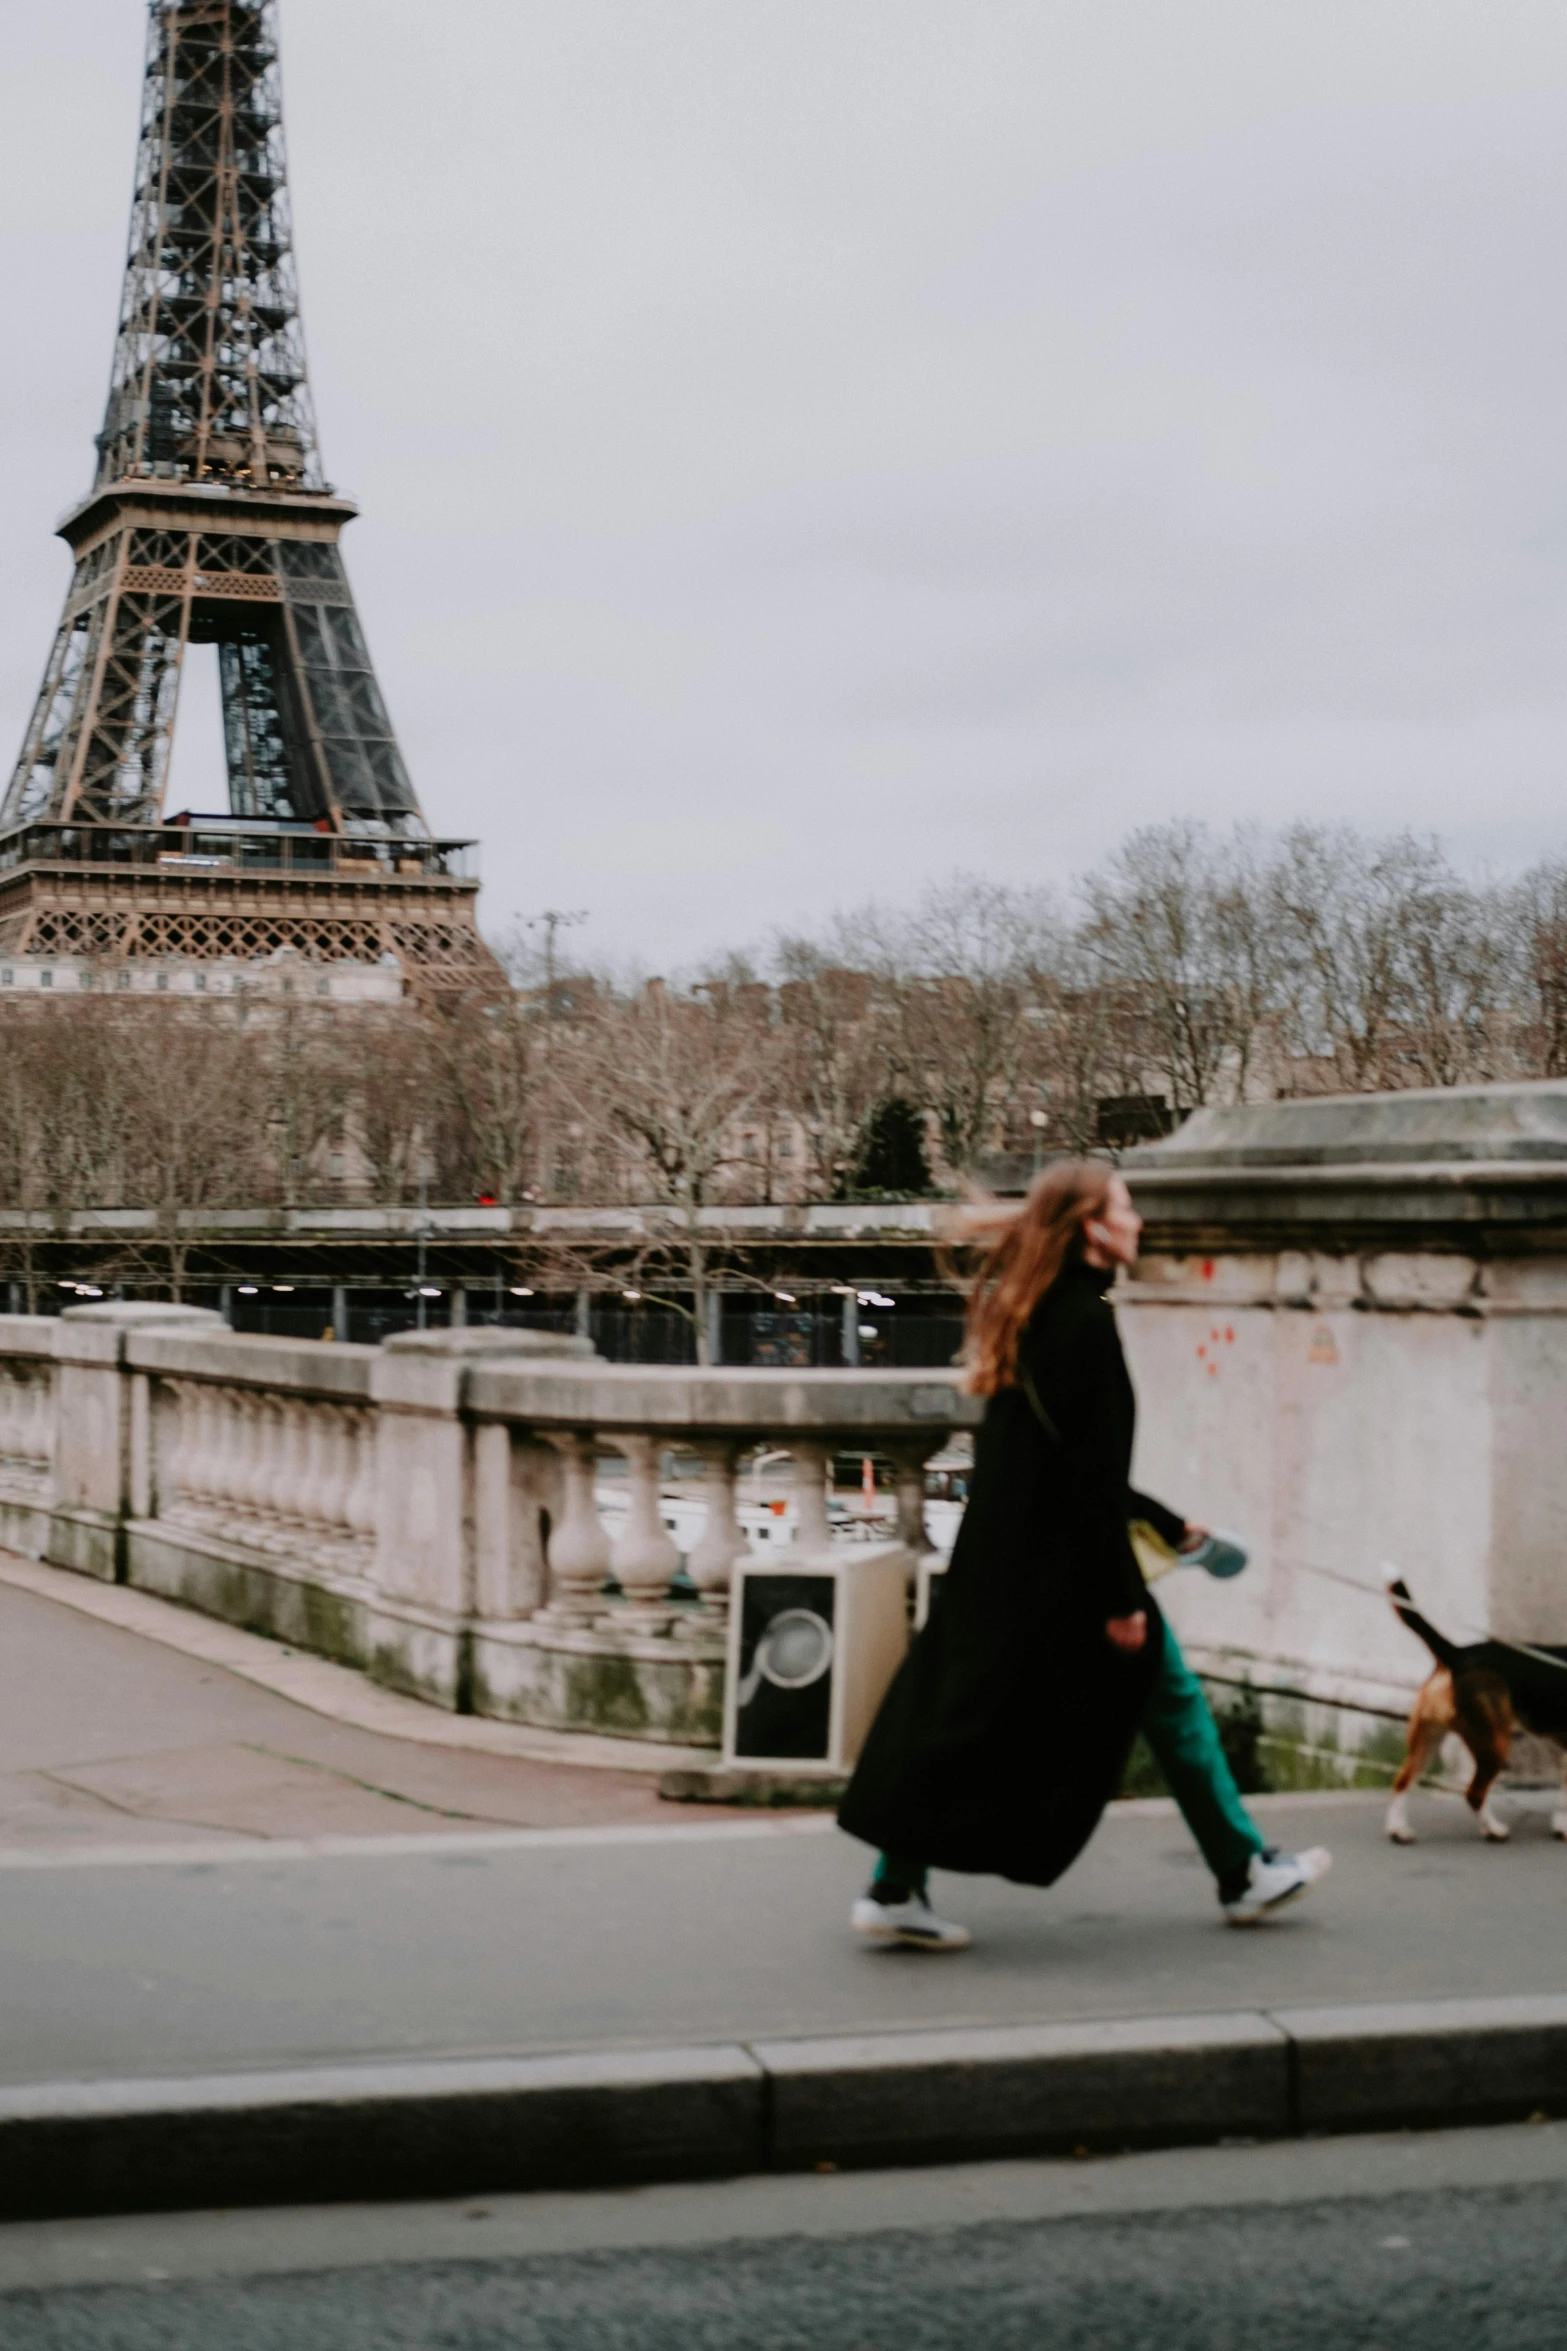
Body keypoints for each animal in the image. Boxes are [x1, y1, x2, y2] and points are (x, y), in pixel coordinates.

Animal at [1381, 1589, 1567, 1843]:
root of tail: (1457, 1654)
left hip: (1428, 1740)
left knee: (1402, 1781)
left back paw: (1398, 1830)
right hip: (1494, 1743)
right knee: (1474, 1793)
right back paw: (1494, 1830)